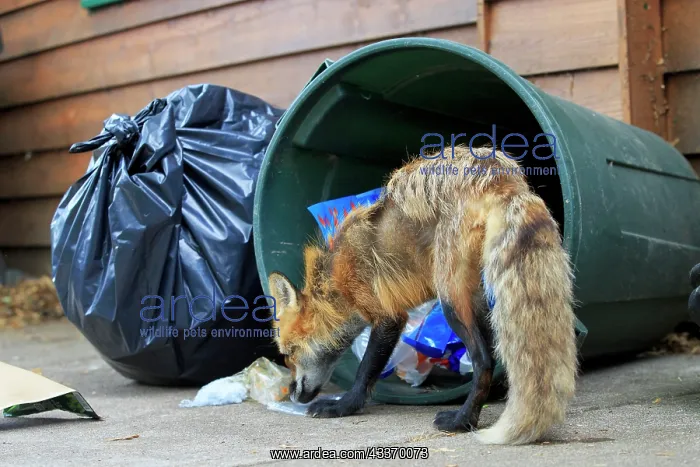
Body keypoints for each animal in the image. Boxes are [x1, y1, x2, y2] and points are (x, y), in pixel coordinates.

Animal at [268, 145, 578, 445]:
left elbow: (365, 371)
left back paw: (461, 421)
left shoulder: (387, 315)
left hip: (450, 298)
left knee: (484, 361)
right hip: (474, 294)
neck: (337, 283)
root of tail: (497, 172)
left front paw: (345, 406)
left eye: (289, 353)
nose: (292, 395)